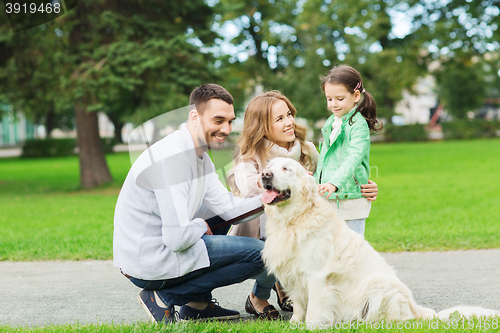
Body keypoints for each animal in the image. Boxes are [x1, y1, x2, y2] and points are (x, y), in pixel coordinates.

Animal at [260, 156, 452, 324]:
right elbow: (299, 304)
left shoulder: (316, 274)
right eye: (269, 166)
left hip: (380, 289)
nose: (264, 174)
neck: (294, 219)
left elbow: (314, 309)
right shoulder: (293, 272)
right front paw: (295, 322)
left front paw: (311, 325)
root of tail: (415, 306)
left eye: (286, 169)